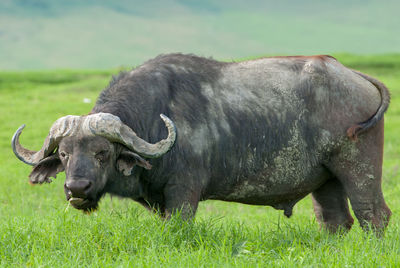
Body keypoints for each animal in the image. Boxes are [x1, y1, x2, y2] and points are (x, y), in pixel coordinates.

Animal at [12, 54, 390, 232]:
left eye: (103, 153)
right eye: (64, 154)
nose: (76, 188)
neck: (153, 117)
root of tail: (355, 76)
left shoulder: (183, 193)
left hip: (358, 168)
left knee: (374, 215)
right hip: (326, 180)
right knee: (335, 221)